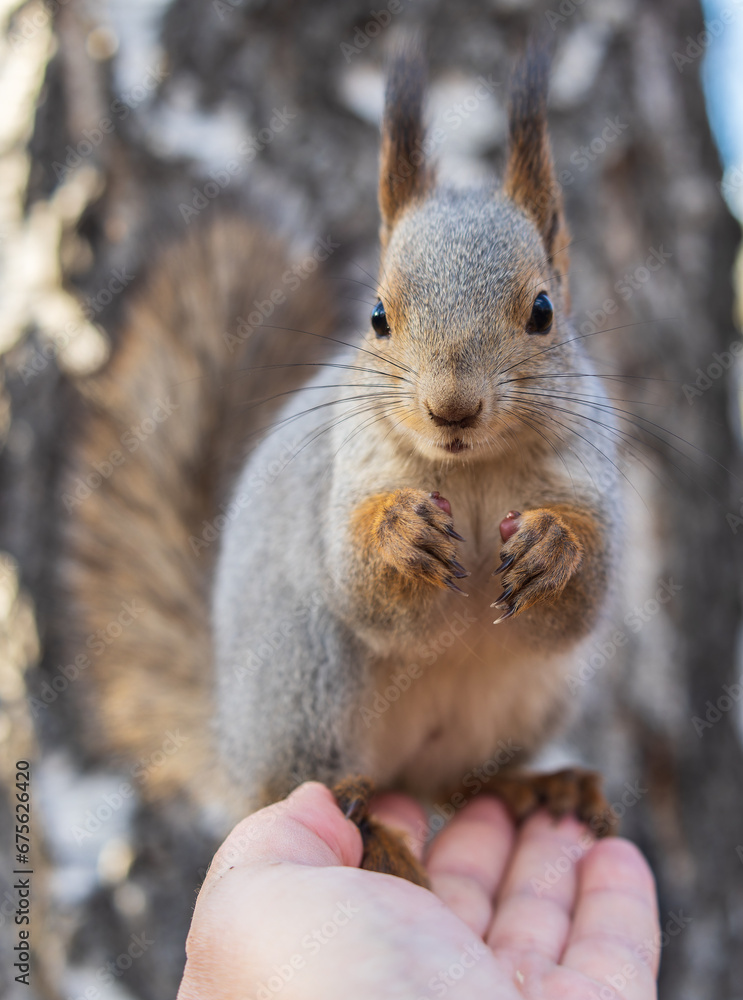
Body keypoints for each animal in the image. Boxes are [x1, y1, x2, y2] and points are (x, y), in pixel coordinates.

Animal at [60, 42, 621, 886]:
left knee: (462, 783)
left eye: (543, 312)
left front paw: (554, 546)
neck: (472, 472)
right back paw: (368, 827)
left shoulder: (587, 468)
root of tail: (230, 736)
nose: (451, 408)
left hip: (535, 694)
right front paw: (398, 534)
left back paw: (537, 788)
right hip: (306, 673)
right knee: (295, 782)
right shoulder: (347, 468)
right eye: (377, 316)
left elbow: (579, 601)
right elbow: (367, 591)